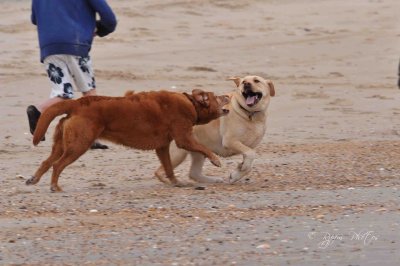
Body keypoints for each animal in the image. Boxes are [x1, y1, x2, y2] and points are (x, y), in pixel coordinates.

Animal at [26, 89, 230, 191]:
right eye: (218, 97)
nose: (228, 95)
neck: (191, 103)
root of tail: (76, 103)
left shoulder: (162, 147)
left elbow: (169, 168)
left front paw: (176, 182)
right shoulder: (184, 139)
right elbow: (203, 148)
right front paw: (216, 160)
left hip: (62, 145)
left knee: (47, 162)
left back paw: (33, 179)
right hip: (78, 145)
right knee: (57, 165)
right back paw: (55, 186)